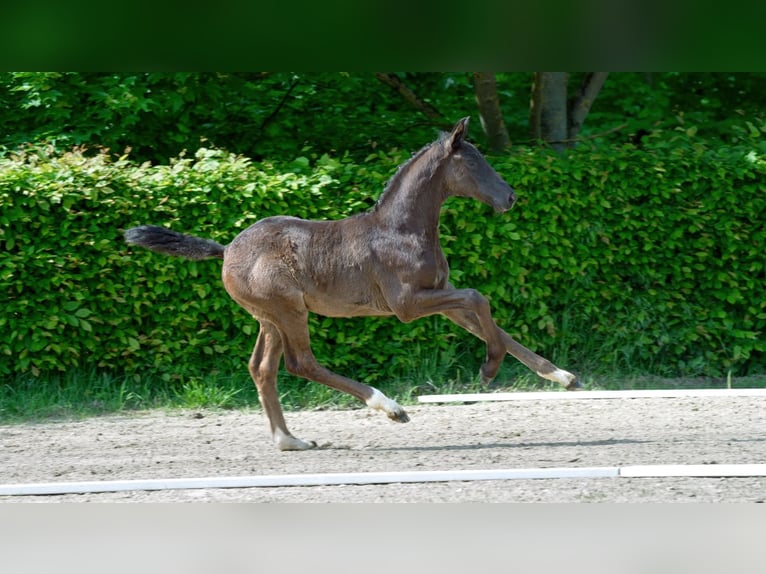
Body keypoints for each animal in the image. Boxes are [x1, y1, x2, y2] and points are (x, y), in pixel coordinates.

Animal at [126, 118, 580, 450]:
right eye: (471, 163)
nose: (510, 197)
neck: (401, 229)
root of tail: (225, 251)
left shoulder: (439, 296)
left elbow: (490, 322)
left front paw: (562, 376)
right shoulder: (407, 304)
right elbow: (479, 297)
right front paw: (489, 368)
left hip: (268, 317)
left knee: (262, 368)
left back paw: (289, 440)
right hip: (288, 310)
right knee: (301, 363)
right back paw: (389, 407)